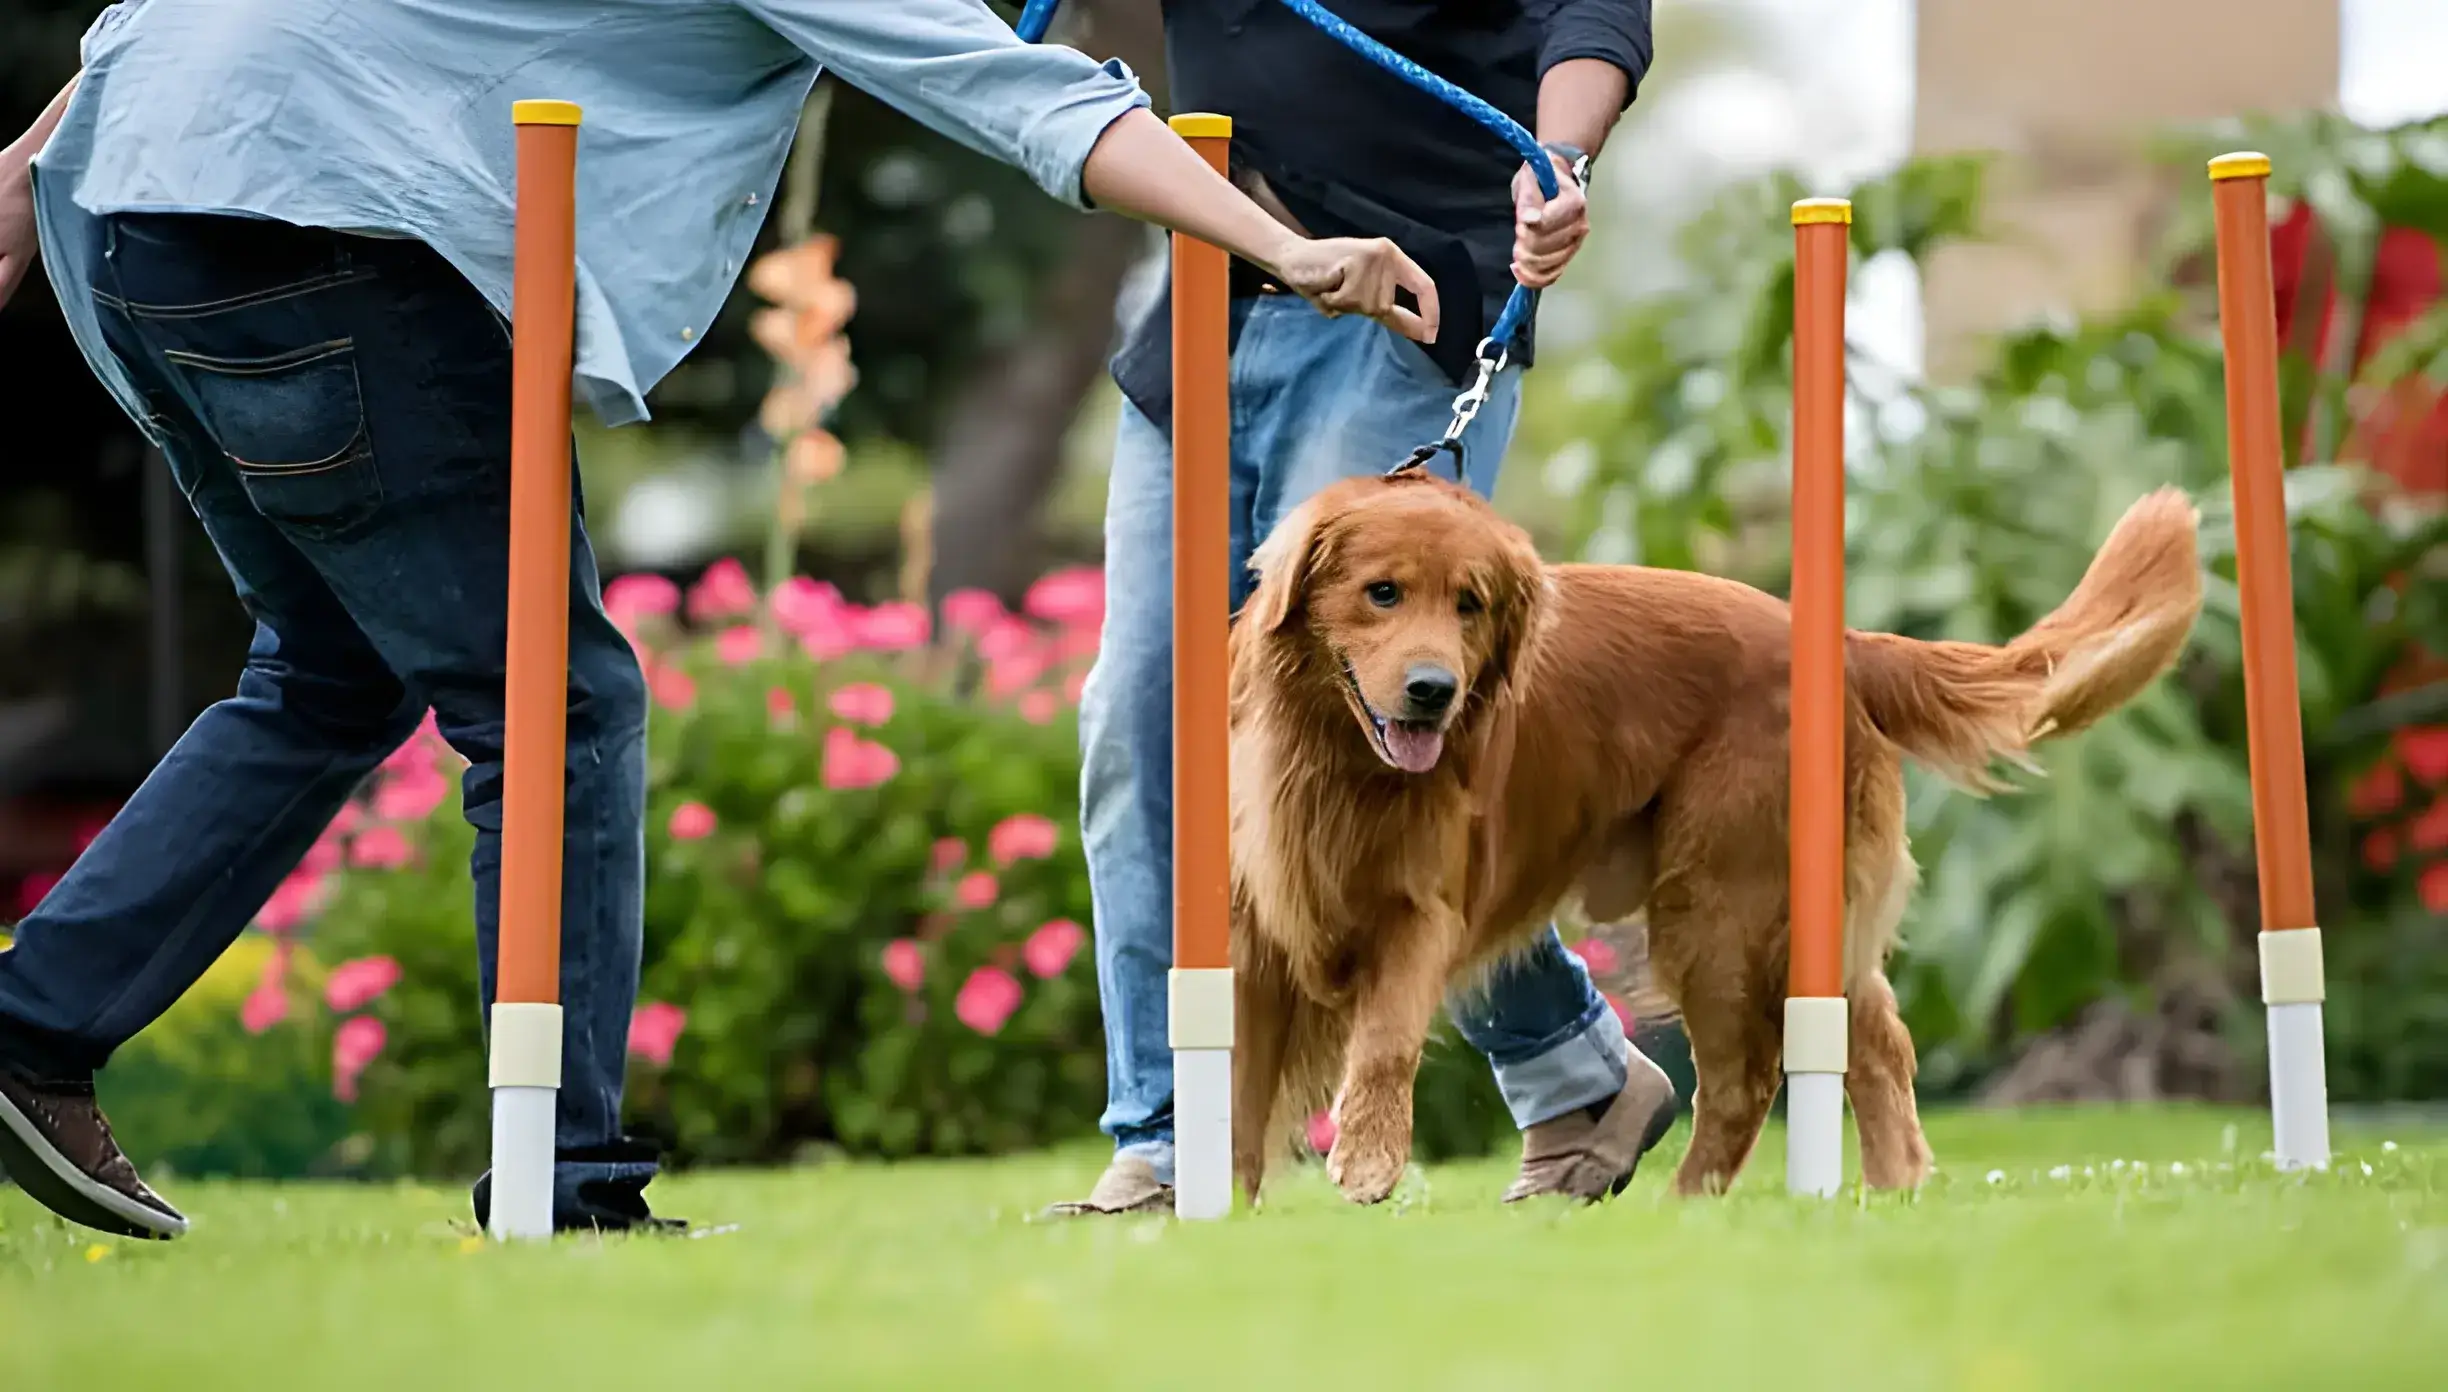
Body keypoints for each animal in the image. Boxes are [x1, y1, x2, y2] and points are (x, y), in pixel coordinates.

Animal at [1233, 469, 2212, 1203]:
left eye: (1469, 604)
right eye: (1382, 593)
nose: (1433, 691)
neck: (1333, 760)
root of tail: (1842, 643)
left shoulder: (1421, 912)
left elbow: (1385, 1040)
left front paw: (1366, 1161)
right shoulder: (1255, 939)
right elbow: (1239, 1090)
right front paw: (1226, 1216)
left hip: (1718, 910)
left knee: (1747, 1079)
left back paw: (1691, 1210)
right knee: (1876, 1037)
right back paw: (1892, 1191)